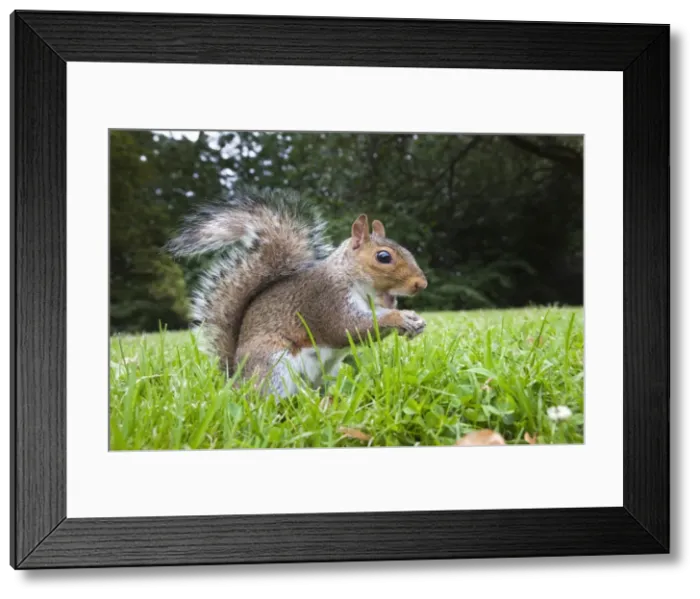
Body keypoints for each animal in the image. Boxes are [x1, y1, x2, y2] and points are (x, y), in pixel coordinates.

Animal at [167, 186, 428, 398]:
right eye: (383, 257)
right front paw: (400, 318)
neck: (352, 279)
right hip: (274, 366)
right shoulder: (326, 300)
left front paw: (415, 320)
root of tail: (237, 378)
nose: (421, 284)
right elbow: (348, 328)